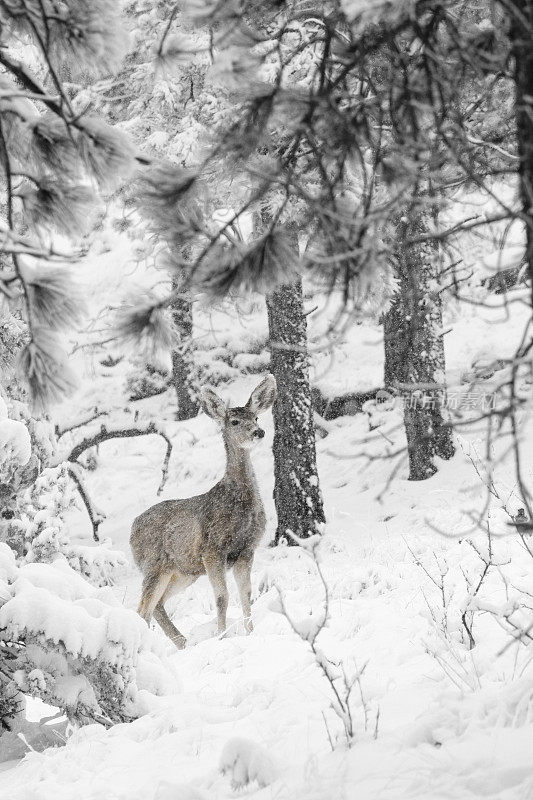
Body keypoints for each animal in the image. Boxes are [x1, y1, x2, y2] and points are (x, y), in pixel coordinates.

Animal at [130, 376, 276, 648]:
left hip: (182, 570)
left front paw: (250, 633)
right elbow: (222, 597)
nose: (258, 432)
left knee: (158, 606)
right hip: (154, 565)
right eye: (234, 421)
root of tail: (131, 530)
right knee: (143, 610)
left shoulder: (247, 550)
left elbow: (246, 594)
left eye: (256, 417)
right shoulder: (213, 550)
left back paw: (183, 643)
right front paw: (222, 636)